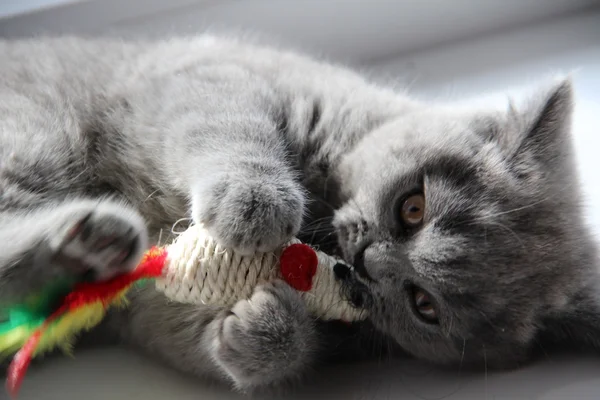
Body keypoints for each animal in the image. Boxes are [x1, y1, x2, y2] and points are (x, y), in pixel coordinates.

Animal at [0, 35, 596, 394]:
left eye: (424, 305)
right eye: (413, 206)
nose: (369, 261)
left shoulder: (148, 310)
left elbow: (185, 321)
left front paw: (262, 328)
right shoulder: (208, 75)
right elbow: (228, 128)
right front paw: (255, 205)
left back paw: (92, 248)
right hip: (41, 134)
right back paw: (98, 236)